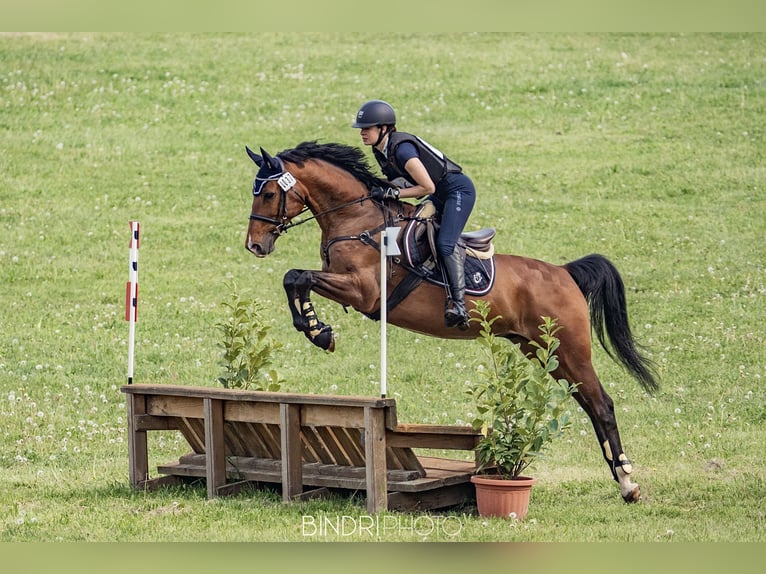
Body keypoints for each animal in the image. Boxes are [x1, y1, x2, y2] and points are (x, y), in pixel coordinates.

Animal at [246, 140, 660, 504]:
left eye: (268, 194)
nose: (254, 246)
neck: (358, 219)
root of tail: (564, 273)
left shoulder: (364, 292)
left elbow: (297, 276)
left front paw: (319, 331)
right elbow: (294, 278)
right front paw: (315, 329)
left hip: (570, 350)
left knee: (602, 405)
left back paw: (628, 483)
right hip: (541, 350)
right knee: (588, 403)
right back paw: (623, 481)